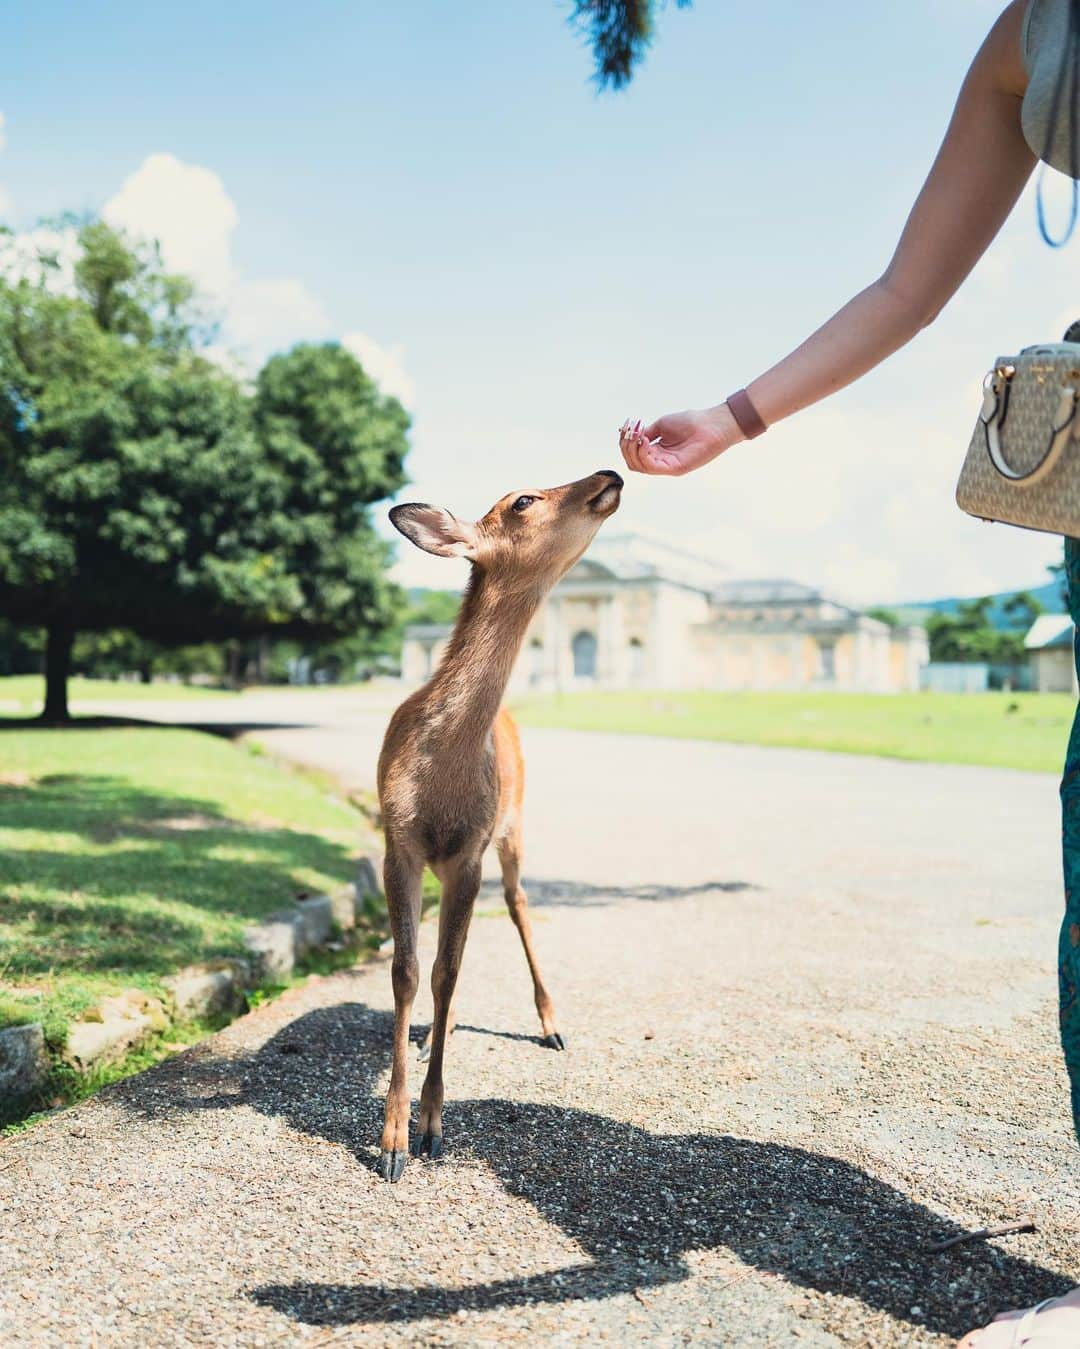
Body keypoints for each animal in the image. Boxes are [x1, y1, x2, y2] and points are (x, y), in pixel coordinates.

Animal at [372, 472, 620, 1181]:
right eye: (523, 501)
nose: (610, 476)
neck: (441, 780)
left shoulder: (470, 852)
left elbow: (446, 972)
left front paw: (430, 1128)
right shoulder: (399, 843)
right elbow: (409, 971)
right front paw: (392, 1140)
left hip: (513, 831)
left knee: (517, 905)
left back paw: (551, 1024)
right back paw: (442, 1030)